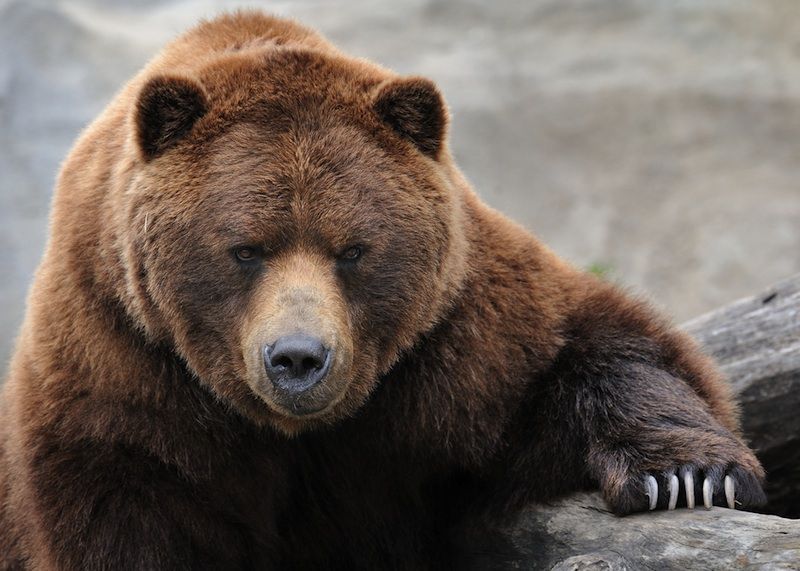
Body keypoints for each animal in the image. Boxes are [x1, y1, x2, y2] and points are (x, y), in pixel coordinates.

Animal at [0, 10, 764, 571]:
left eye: (353, 250)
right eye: (245, 249)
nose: (299, 358)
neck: (298, 431)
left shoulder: (454, 343)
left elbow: (594, 349)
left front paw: (688, 474)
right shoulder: (124, 370)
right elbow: (128, 512)